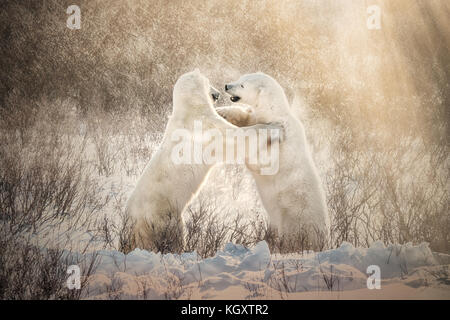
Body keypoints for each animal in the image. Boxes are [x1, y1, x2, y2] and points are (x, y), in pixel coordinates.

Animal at [221, 72, 330, 250]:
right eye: (240, 78)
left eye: (242, 85)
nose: (227, 86)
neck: (273, 113)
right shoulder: (256, 116)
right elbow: (245, 116)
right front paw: (221, 111)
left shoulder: (285, 142)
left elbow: (264, 160)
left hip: (297, 219)